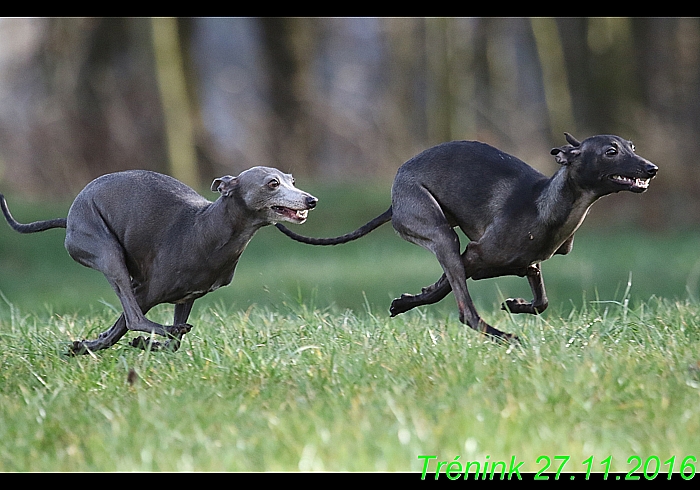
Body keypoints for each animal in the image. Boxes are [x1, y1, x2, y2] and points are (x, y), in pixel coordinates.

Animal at [0, 167, 318, 354]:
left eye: (292, 180)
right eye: (273, 183)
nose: (311, 200)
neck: (207, 227)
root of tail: (69, 220)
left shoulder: (187, 297)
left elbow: (170, 345)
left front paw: (98, 345)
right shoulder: (146, 290)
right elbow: (127, 324)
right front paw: (106, 343)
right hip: (107, 251)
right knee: (134, 316)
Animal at [276, 134, 660, 340]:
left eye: (631, 145)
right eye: (611, 152)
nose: (652, 168)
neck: (549, 204)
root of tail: (393, 199)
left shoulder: (529, 265)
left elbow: (541, 302)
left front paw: (517, 304)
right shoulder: (473, 254)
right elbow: (448, 289)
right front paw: (410, 301)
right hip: (441, 233)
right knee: (467, 313)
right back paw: (506, 338)